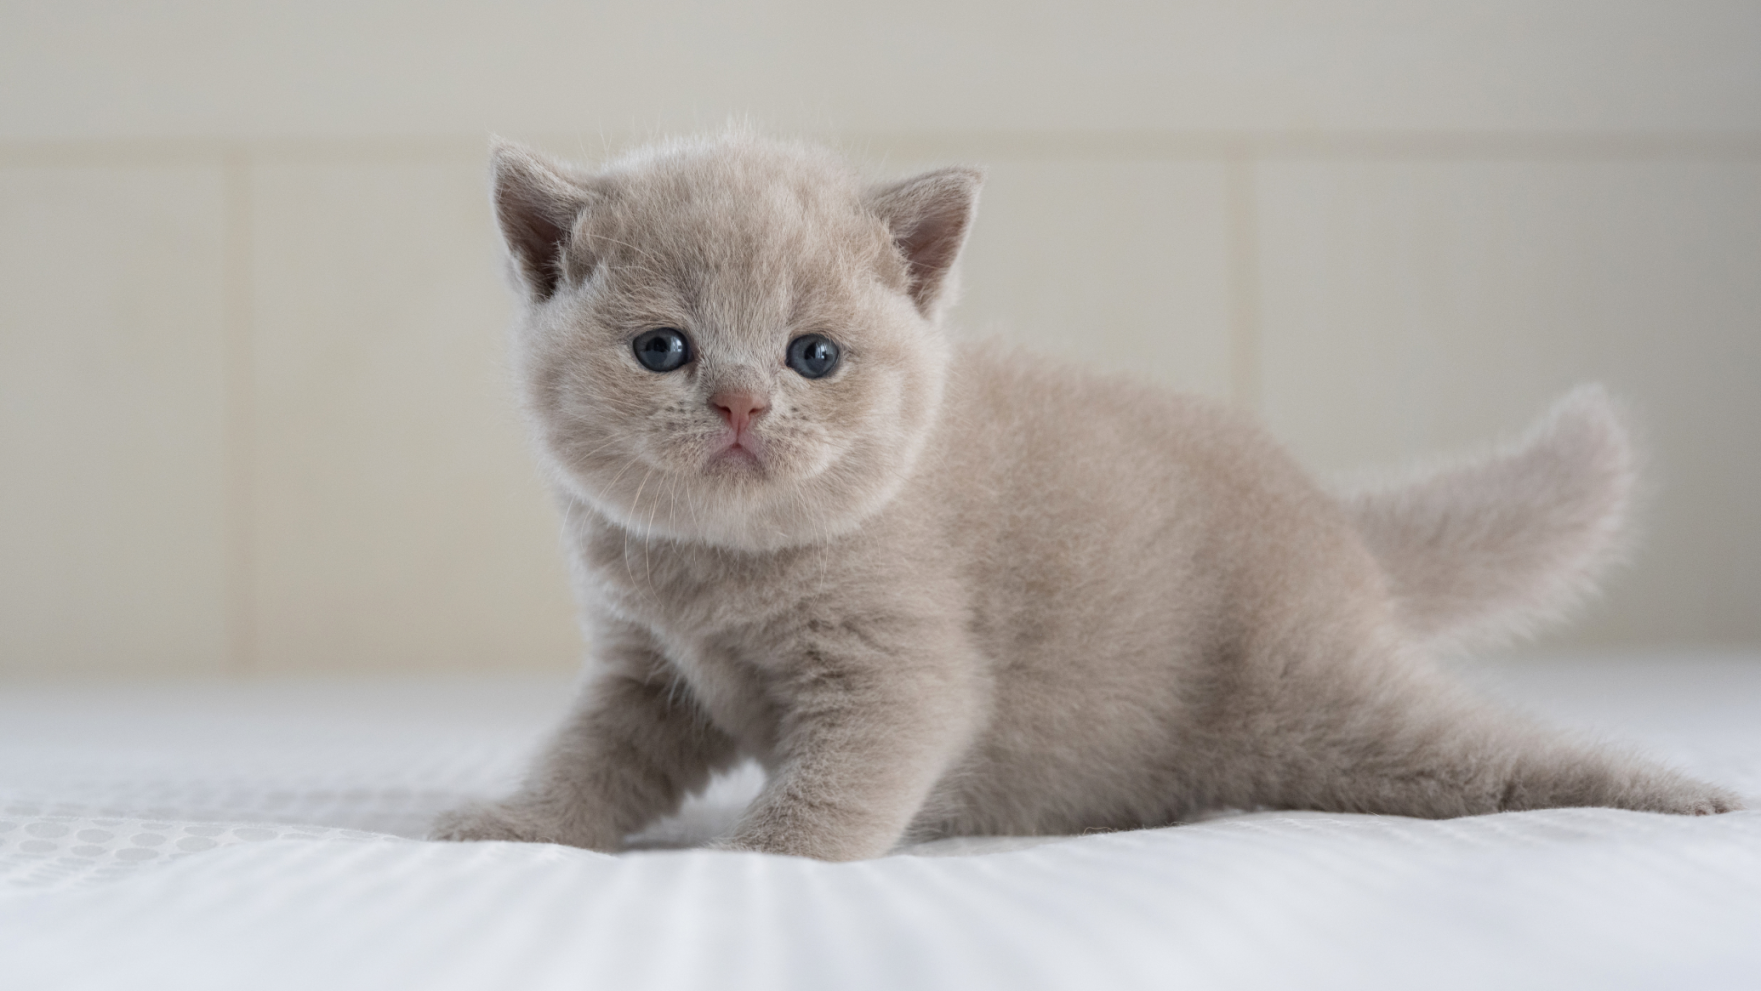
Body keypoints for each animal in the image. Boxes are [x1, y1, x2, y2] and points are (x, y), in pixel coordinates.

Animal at [433, 130, 1739, 862]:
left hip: (1317, 707)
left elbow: (841, 782)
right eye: (663, 350)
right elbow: (594, 758)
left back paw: (1678, 796)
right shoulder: (648, 673)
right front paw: (513, 826)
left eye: (813, 355)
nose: (744, 405)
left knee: (1493, 756)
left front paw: (751, 863)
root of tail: (1329, 514)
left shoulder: (904, 667)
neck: (719, 573)